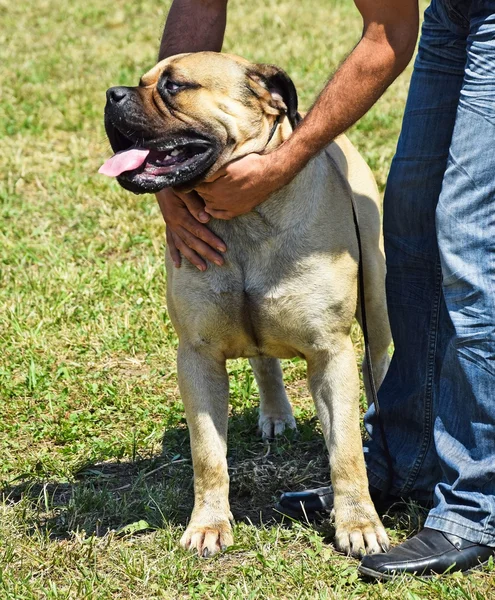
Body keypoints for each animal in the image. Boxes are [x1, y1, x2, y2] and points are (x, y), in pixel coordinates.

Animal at [101, 50, 394, 556]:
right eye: (143, 81)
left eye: (174, 86)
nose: (111, 94)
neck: (245, 220)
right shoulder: (197, 356)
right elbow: (208, 456)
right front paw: (208, 526)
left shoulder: (331, 353)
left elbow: (346, 453)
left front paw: (358, 524)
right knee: (264, 361)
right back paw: (275, 414)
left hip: (375, 298)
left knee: (379, 357)